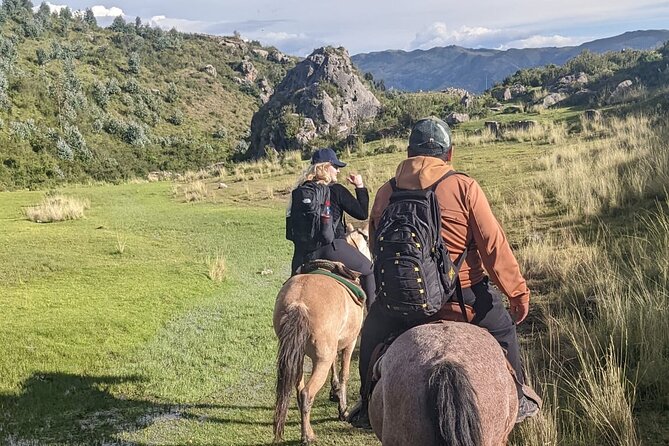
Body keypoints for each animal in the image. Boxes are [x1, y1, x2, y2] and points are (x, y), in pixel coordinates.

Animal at [272, 230, 368, 446]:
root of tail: (299, 303)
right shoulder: (349, 343)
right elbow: (344, 374)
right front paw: (342, 409)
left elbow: (335, 369)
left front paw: (334, 391)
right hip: (320, 360)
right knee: (307, 393)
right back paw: (307, 436)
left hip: (297, 357)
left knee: (299, 391)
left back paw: (306, 431)